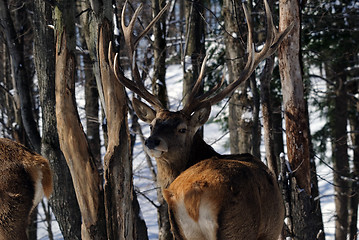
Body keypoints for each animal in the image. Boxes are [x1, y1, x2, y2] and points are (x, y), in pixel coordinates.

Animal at [111, 0, 294, 239]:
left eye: (182, 128)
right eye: (151, 125)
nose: (152, 141)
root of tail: (194, 194)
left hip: (183, 230)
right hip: (238, 228)